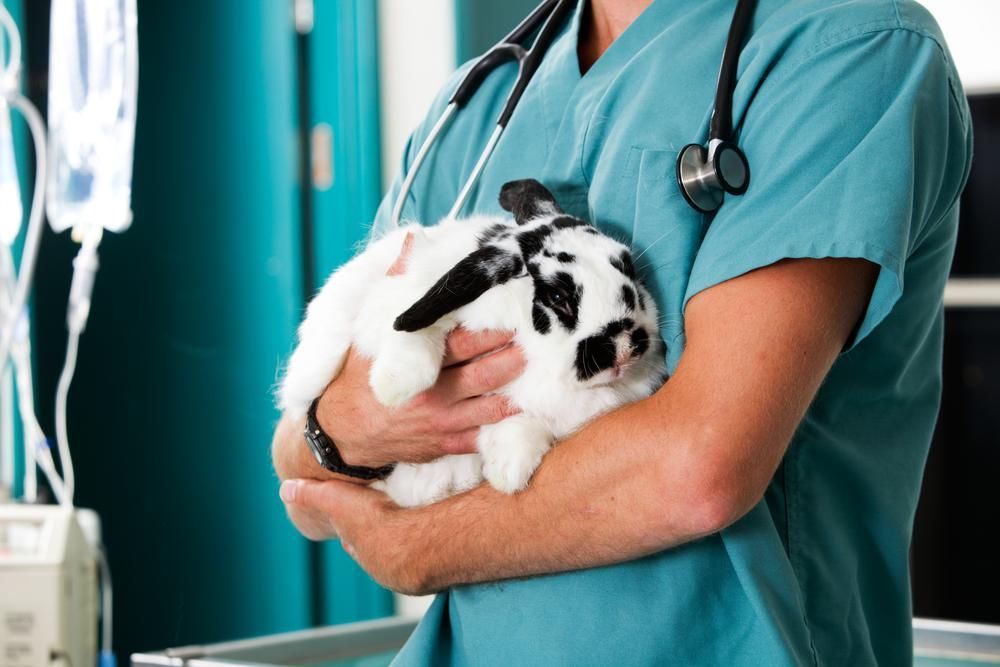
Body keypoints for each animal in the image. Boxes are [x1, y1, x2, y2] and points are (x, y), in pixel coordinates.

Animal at [279, 179, 667, 508]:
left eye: (629, 268)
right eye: (558, 296)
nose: (623, 348)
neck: (539, 357)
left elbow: (521, 422)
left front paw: (509, 470)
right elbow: (416, 333)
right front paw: (395, 387)